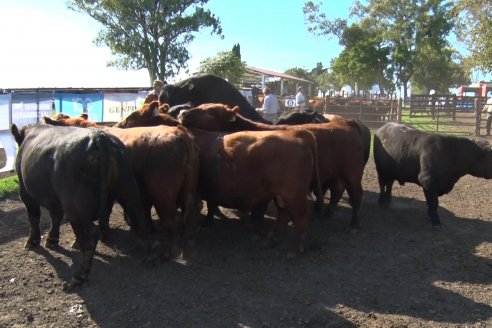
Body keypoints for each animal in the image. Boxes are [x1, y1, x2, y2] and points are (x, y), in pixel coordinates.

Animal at [9, 124, 148, 290]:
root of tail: (100, 136)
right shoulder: (56, 199)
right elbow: (55, 216)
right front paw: (52, 240)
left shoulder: (25, 192)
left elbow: (34, 217)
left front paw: (33, 241)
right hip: (127, 188)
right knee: (139, 218)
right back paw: (146, 255)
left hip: (75, 206)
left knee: (90, 237)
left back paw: (78, 277)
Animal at [43, 115, 201, 258]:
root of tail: (179, 133)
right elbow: (106, 212)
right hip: (188, 192)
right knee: (189, 217)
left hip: (163, 195)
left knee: (171, 221)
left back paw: (168, 251)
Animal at [178, 104, 366, 231]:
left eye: (211, 112)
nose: (182, 113)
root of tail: (347, 123)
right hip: (338, 174)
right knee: (337, 190)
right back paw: (327, 214)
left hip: (352, 173)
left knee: (356, 195)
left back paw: (354, 225)